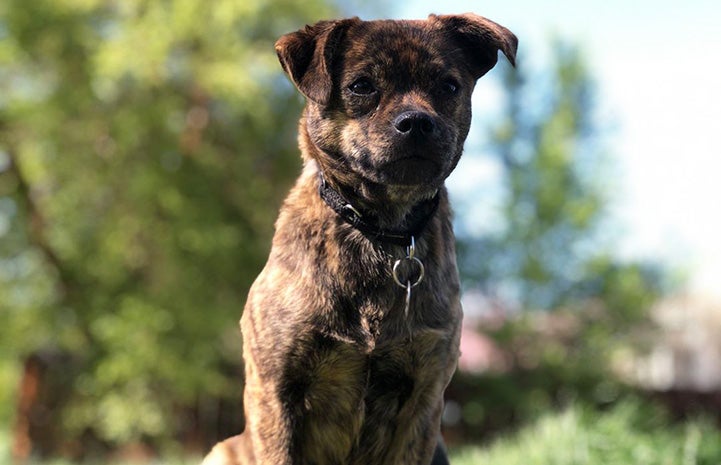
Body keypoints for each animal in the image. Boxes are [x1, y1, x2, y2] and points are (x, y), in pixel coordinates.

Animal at [202, 12, 516, 462]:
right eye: (362, 86)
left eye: (449, 86)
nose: (416, 122)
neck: (382, 229)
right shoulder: (276, 391)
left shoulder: (423, 400)